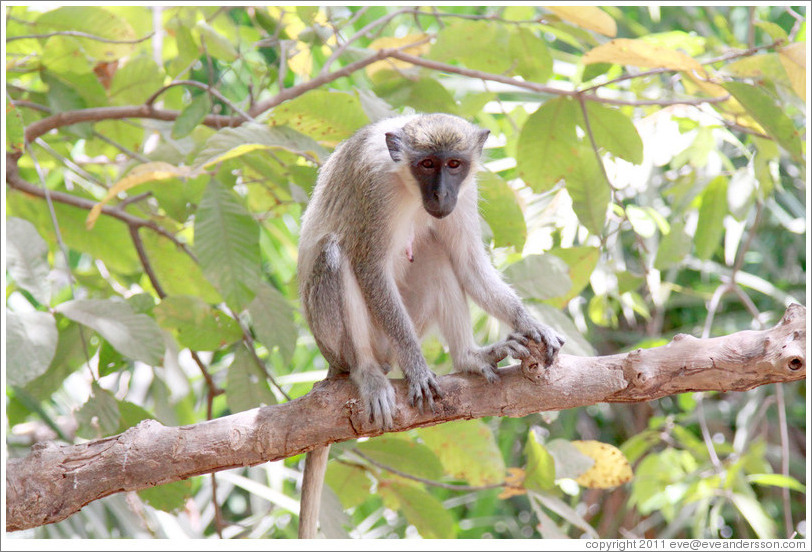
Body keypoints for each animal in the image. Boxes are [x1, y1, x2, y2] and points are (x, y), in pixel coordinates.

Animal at [296, 113, 564, 540]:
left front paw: (529, 323)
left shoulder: (465, 195)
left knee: (437, 250)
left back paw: (468, 358)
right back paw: (368, 373)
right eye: (427, 165)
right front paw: (418, 368)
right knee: (336, 254)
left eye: (453, 164)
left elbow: (468, 262)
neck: (403, 180)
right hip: (341, 338)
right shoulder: (373, 188)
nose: (440, 195)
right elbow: (369, 269)